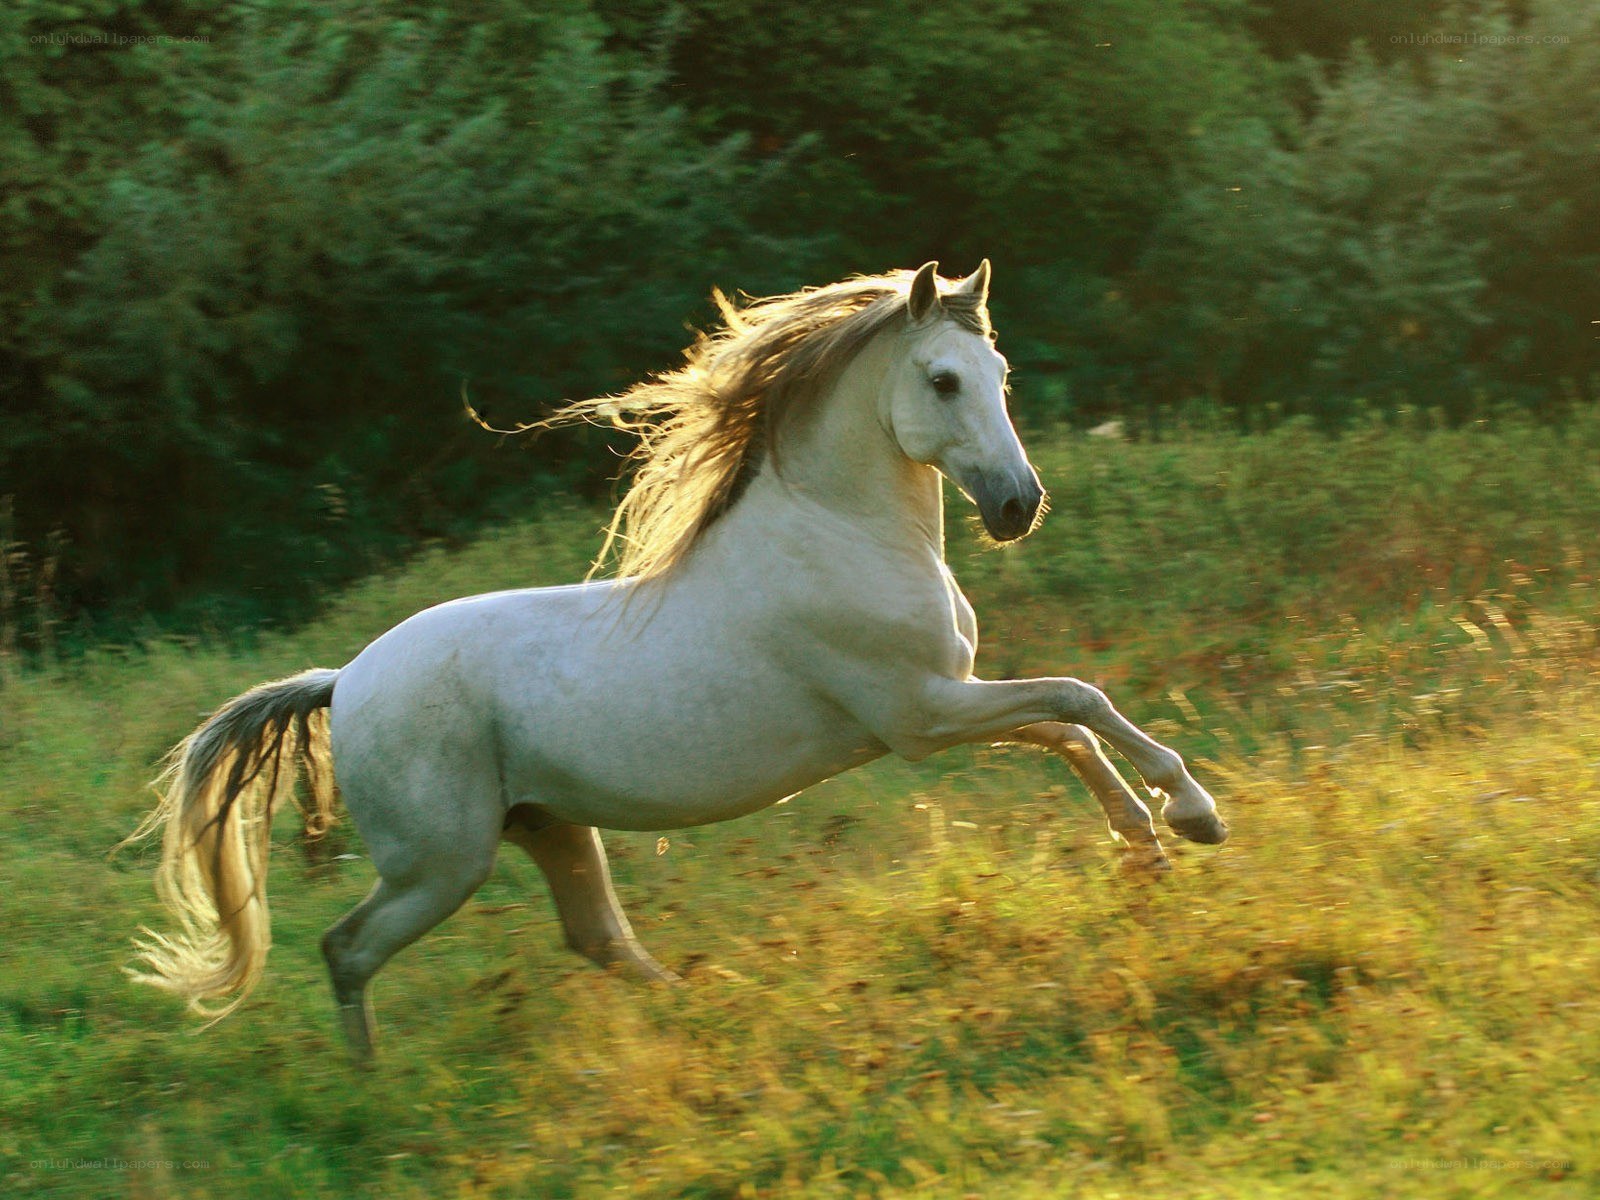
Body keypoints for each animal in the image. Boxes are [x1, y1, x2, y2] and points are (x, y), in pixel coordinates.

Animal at [127, 261, 1228, 1060]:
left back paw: (711, 1010)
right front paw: (1192, 814)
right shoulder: (920, 715)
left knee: (596, 938)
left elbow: (1066, 728)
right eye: (943, 380)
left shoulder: (944, 703)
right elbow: (1077, 701)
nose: (1016, 506)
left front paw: (1146, 845)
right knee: (346, 947)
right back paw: (373, 1084)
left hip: (547, 826)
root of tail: (343, 681)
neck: (840, 533)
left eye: (999, 378)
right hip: (440, 862)